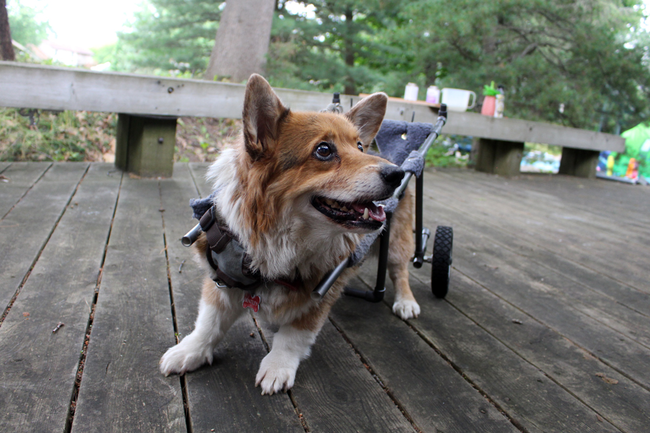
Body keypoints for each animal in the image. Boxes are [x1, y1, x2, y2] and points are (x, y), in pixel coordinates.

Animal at [159, 75, 418, 394]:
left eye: (359, 146)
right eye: (323, 150)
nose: (397, 174)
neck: (282, 235)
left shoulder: (319, 294)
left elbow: (293, 335)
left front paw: (277, 367)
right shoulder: (220, 279)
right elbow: (208, 322)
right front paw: (189, 351)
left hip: (396, 241)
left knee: (400, 270)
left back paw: (406, 302)